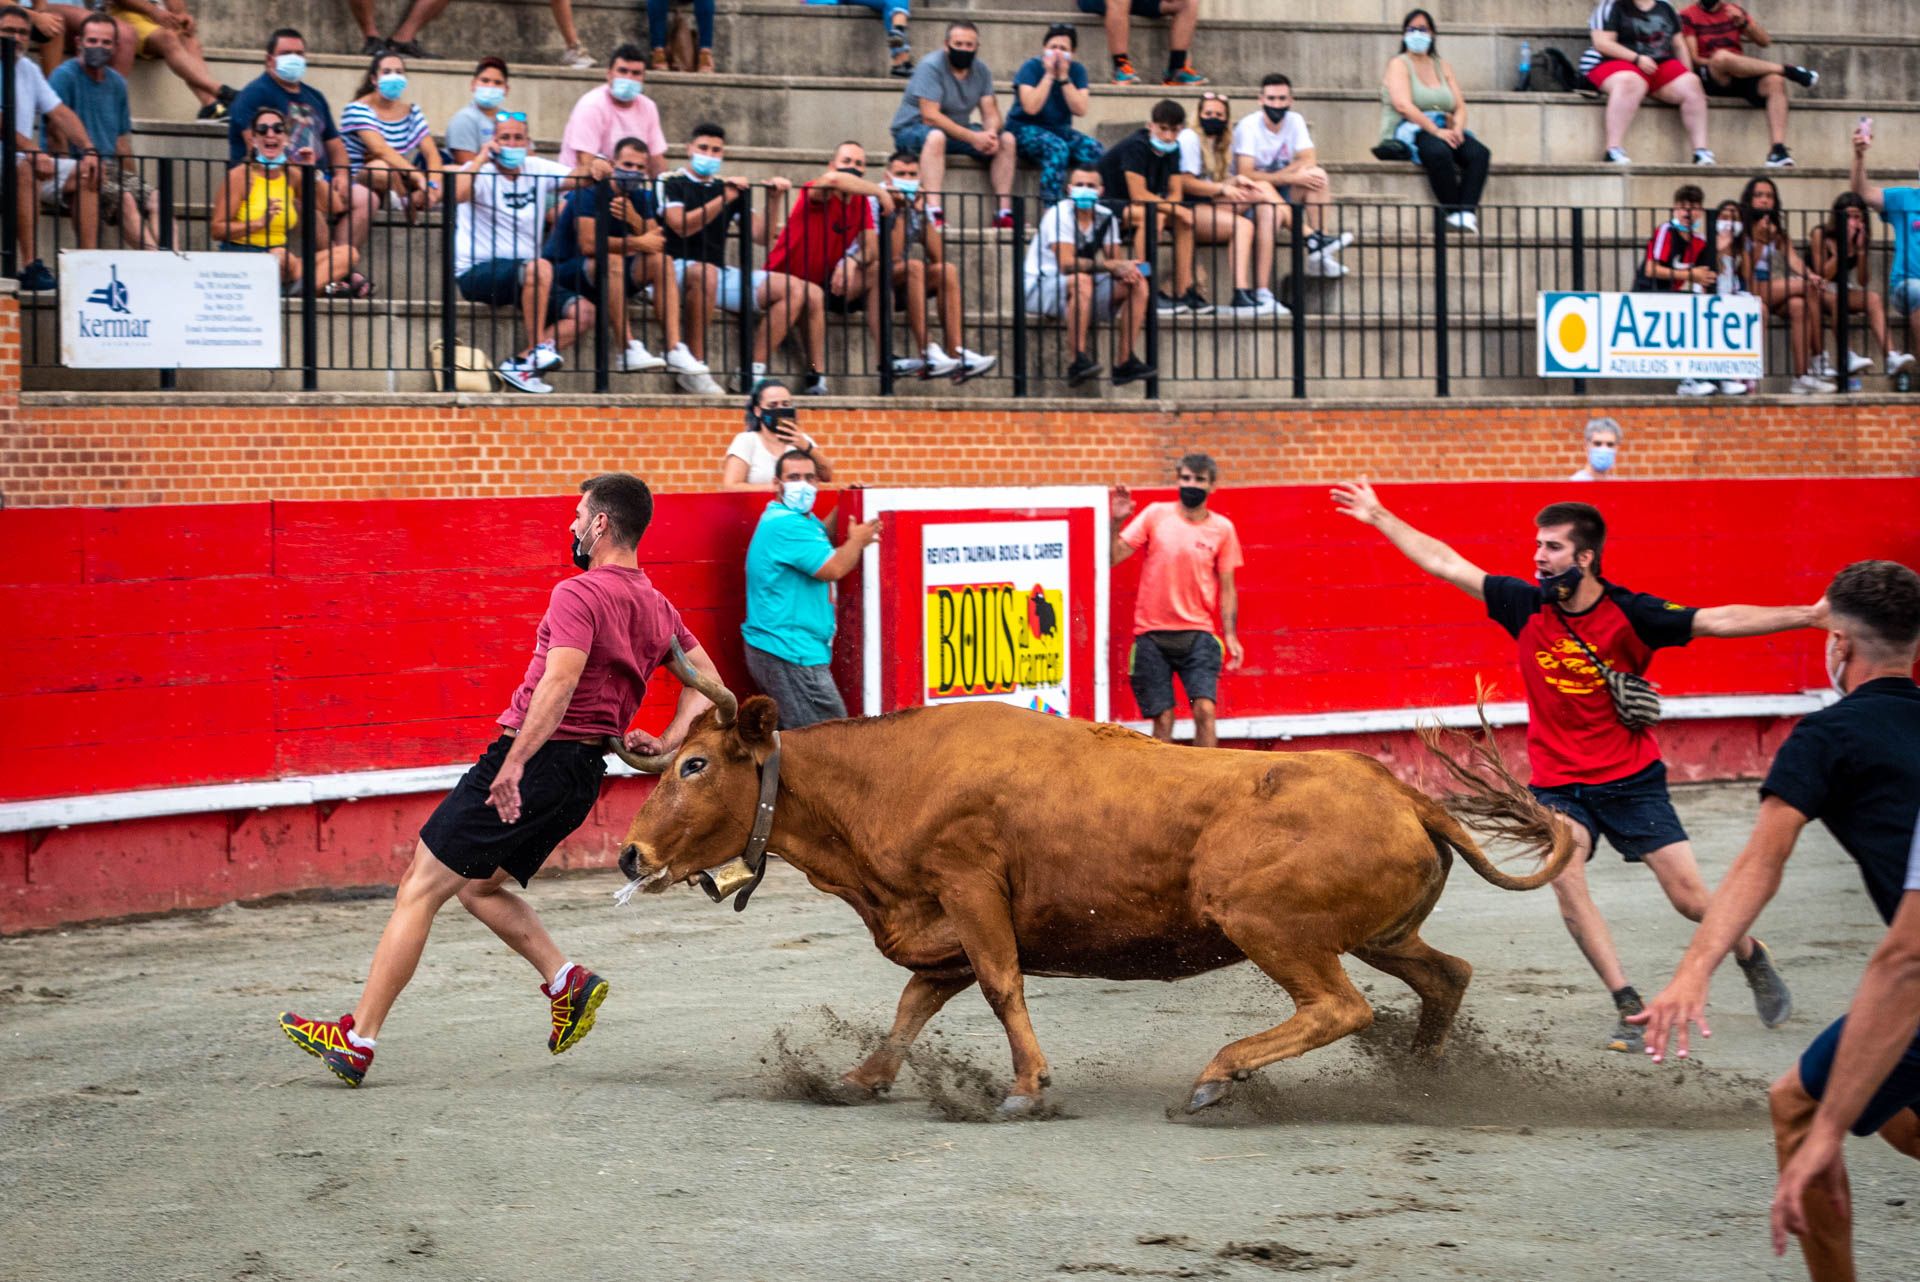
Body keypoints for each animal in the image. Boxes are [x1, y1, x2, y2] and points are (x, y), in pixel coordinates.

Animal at [614, 660, 1574, 1113]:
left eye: (696, 766)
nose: (627, 854)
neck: (884, 781)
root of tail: (1403, 792)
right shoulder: (938, 927)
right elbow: (914, 1005)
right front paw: (861, 1078)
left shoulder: (970, 891)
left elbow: (1001, 986)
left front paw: (1026, 1088)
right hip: (1380, 933)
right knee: (1444, 976)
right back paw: (1422, 1082)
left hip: (1266, 921)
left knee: (1341, 1006)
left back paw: (1217, 1076)